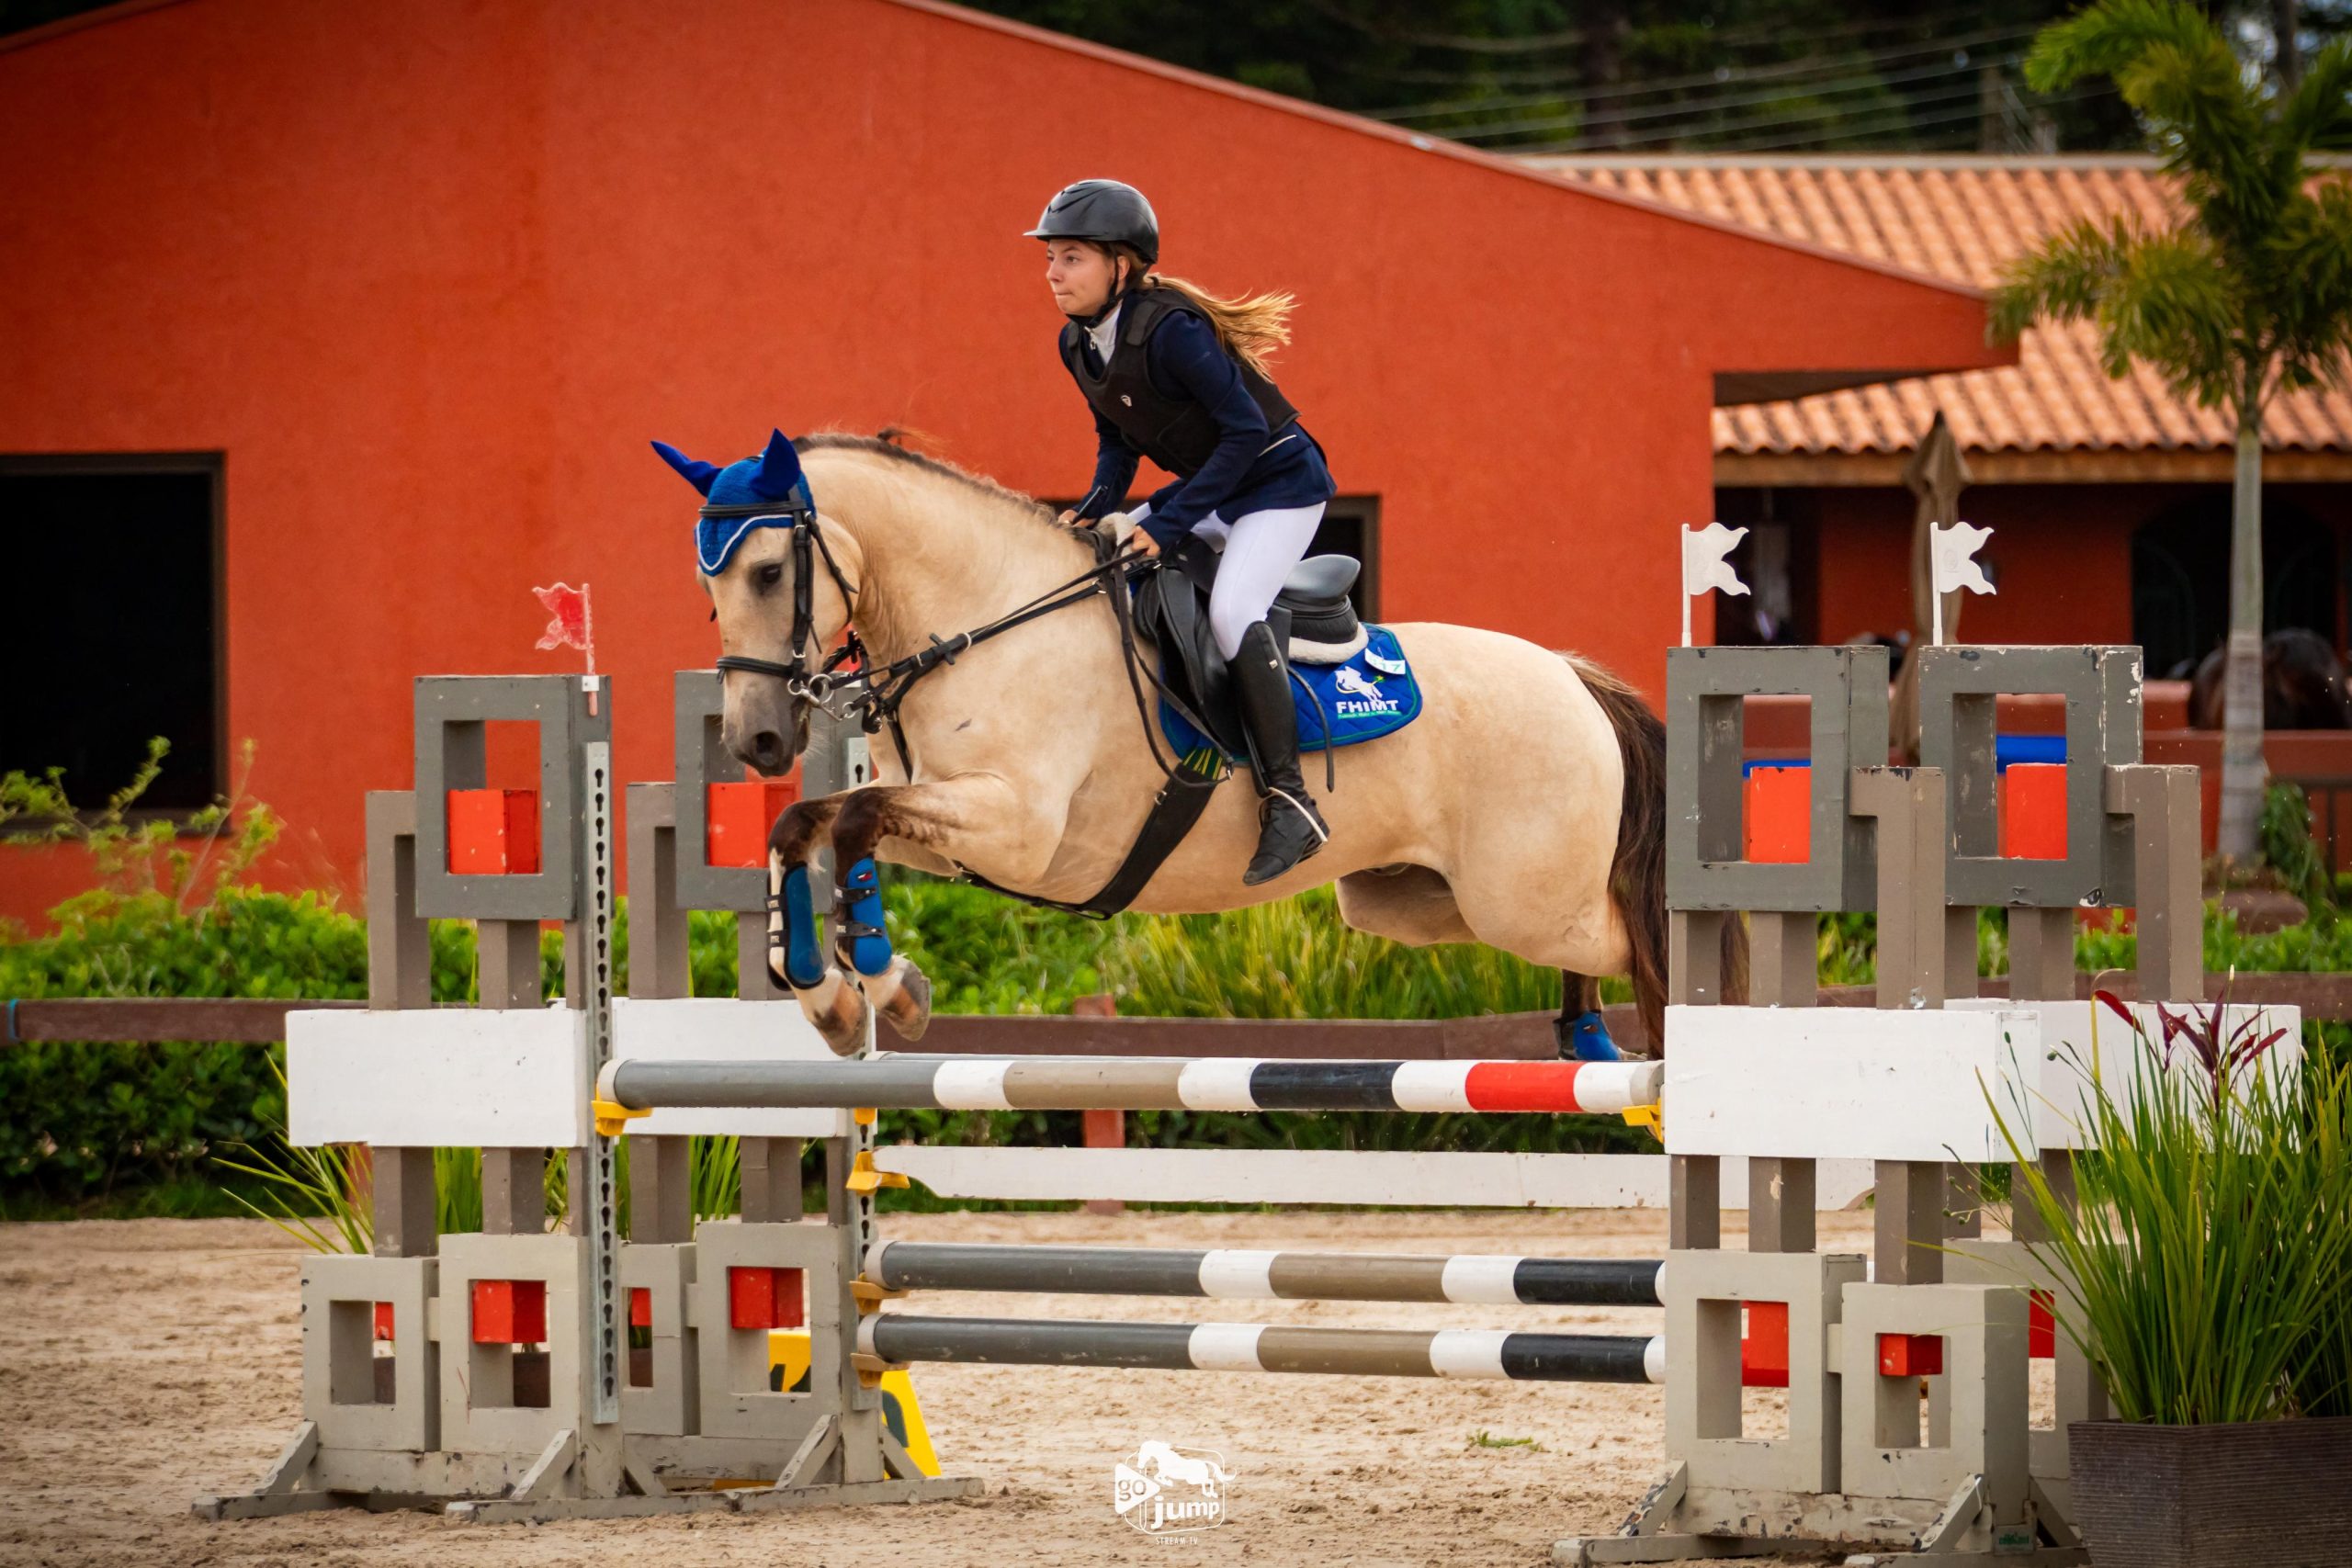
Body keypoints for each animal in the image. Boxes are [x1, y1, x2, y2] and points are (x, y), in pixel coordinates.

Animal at [658, 428, 1675, 1058]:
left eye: (769, 570)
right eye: (705, 587)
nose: (756, 737)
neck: (988, 622)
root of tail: (1573, 678)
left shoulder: (1017, 828)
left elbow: (855, 817)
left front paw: (880, 971)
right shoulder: (955, 832)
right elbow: (807, 824)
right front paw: (835, 995)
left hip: (1525, 900)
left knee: (1639, 945)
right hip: (1418, 902)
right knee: (1583, 956)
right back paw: (1587, 1040)